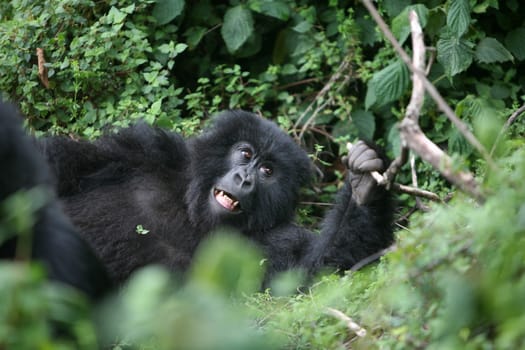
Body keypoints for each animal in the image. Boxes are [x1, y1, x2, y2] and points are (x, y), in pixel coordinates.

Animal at [39, 109, 392, 284]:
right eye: (245, 153)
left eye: (267, 171)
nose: (244, 179)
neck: (194, 214)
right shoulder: (145, 151)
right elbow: (61, 162)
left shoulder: (276, 242)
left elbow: (317, 269)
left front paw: (364, 188)